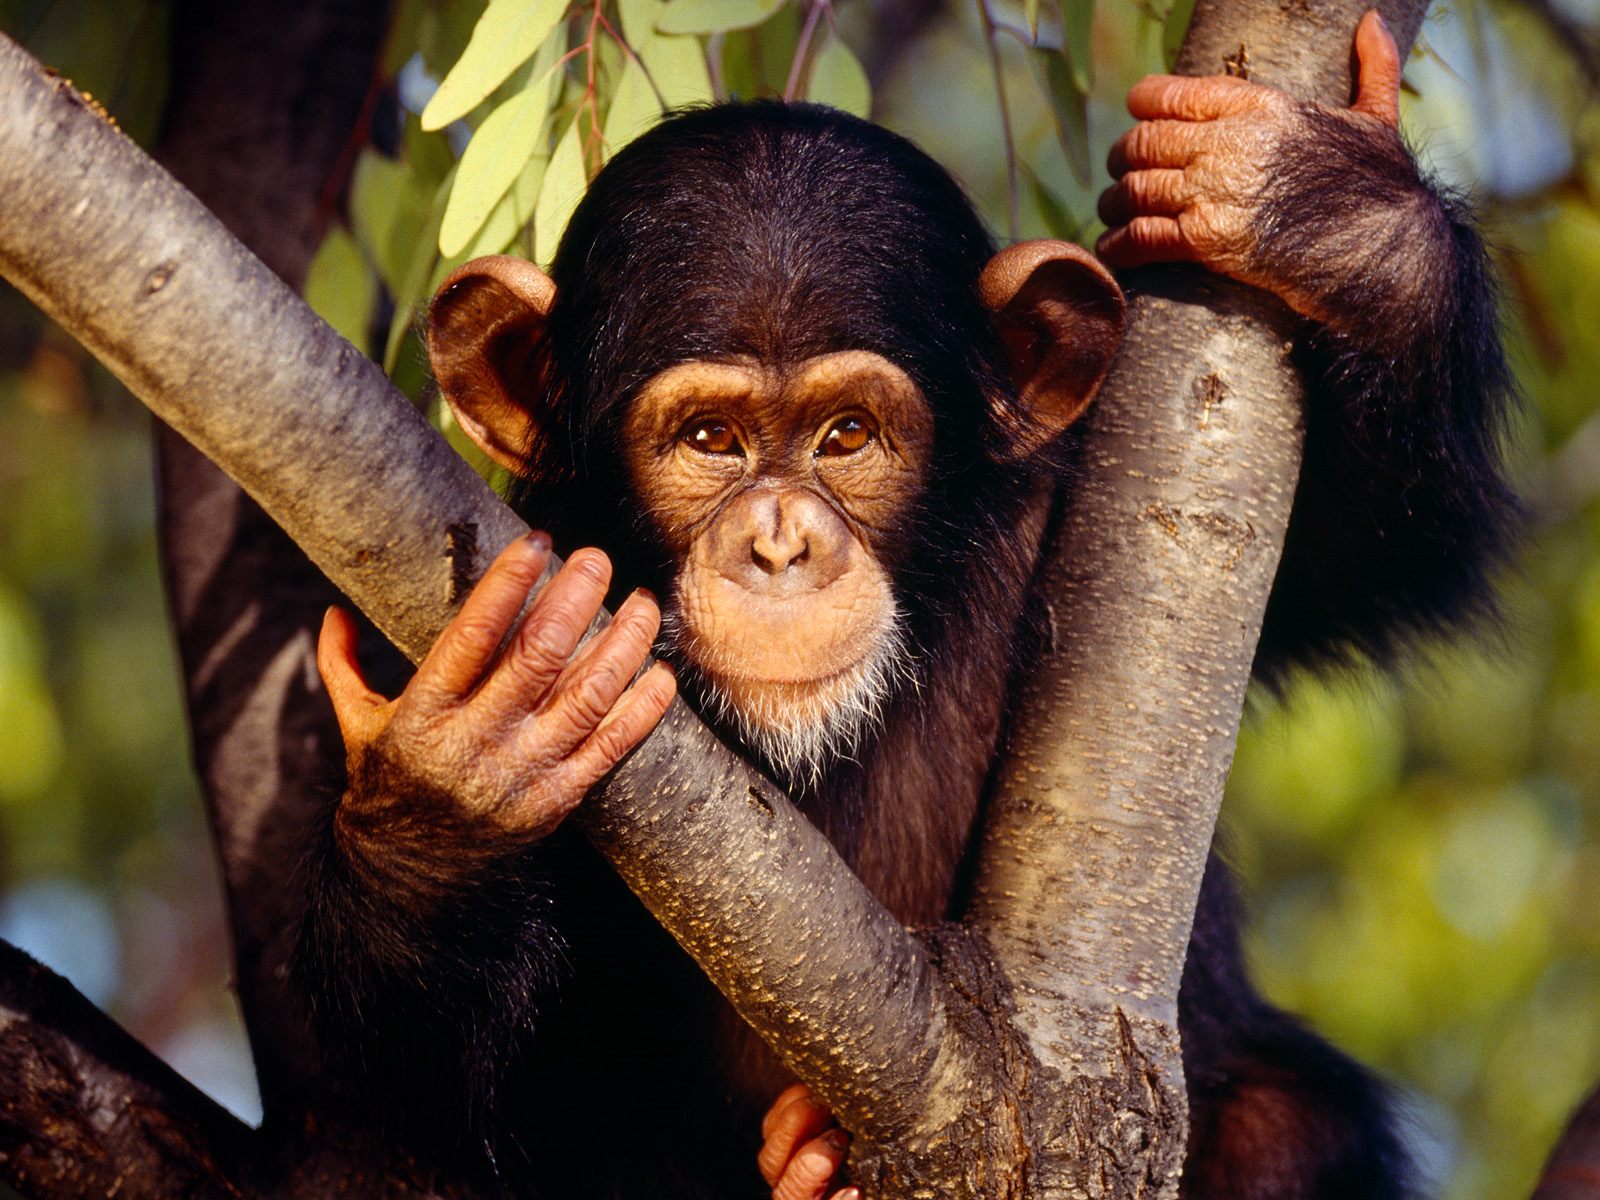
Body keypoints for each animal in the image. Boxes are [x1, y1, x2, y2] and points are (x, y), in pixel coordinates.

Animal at [300, 11, 1510, 1200]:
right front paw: (459, 781)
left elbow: (1377, 543)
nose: (780, 543)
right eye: (708, 440)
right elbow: (416, 1108)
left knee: (1285, 1124)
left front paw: (1328, 214)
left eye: (846, 435)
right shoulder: (460, 575)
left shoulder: (1082, 504)